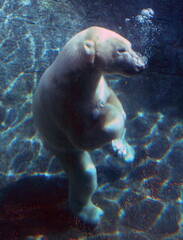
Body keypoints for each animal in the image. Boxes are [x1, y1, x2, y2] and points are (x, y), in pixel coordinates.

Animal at [33, 26, 146, 225]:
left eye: (130, 45)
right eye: (121, 50)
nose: (141, 65)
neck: (74, 77)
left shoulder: (99, 86)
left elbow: (112, 99)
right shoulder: (64, 104)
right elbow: (82, 138)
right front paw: (105, 115)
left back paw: (124, 151)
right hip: (59, 146)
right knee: (85, 174)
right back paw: (91, 214)